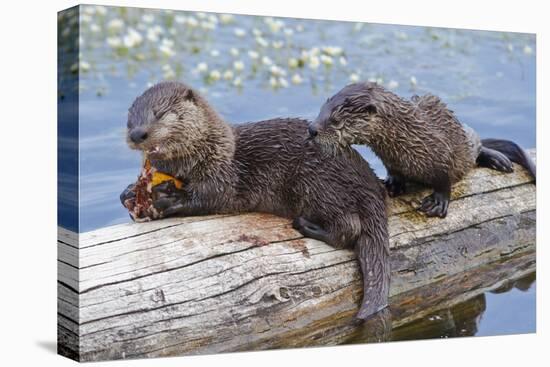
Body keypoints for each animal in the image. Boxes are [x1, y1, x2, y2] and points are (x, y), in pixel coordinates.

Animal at [119, 82, 392, 320]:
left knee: (349, 228)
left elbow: (211, 195)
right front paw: (129, 193)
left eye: (160, 114)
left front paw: (171, 198)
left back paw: (308, 226)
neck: (208, 151)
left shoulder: (222, 173)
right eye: (130, 119)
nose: (137, 133)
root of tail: (368, 183)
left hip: (320, 184)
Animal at [310, 82, 540, 217]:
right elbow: (395, 173)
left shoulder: (442, 153)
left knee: (478, 146)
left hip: (465, 141)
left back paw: (498, 160)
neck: (407, 138)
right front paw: (392, 184)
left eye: (335, 120)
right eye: (320, 111)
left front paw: (438, 202)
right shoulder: (391, 161)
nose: (312, 129)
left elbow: (444, 180)